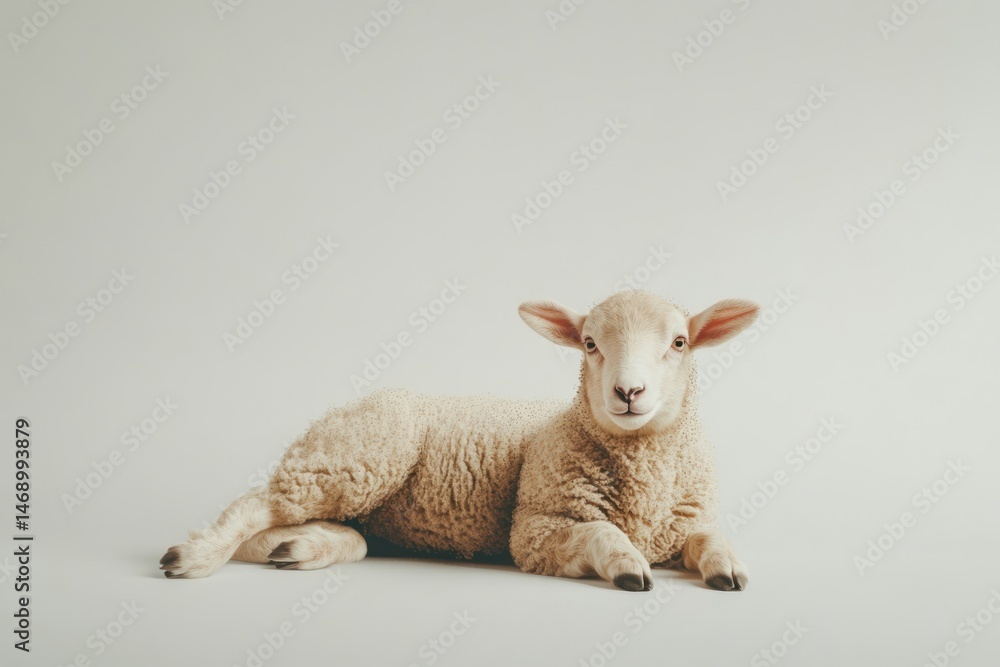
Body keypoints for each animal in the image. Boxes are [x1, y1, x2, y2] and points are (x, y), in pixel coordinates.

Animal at [160, 290, 759, 592]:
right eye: (589, 343)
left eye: (679, 343)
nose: (628, 392)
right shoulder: (537, 527)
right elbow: (601, 533)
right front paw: (629, 566)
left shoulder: (683, 524)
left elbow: (710, 538)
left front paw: (727, 566)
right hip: (356, 455)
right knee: (256, 503)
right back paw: (195, 557)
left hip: (352, 478)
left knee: (321, 529)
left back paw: (297, 548)